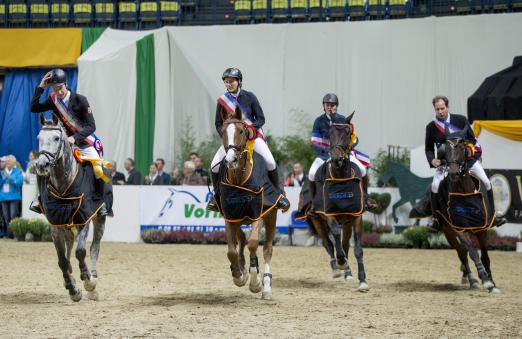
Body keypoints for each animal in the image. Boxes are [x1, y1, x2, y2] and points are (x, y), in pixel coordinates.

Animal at [35, 117, 106, 302]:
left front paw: (88, 281)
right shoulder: (55, 225)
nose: (41, 165)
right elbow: (62, 260)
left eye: (56, 138)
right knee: (68, 246)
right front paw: (73, 289)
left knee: (94, 247)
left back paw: (93, 280)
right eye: (39, 138)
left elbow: (80, 251)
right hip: (65, 224)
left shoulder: (84, 219)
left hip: (99, 220)